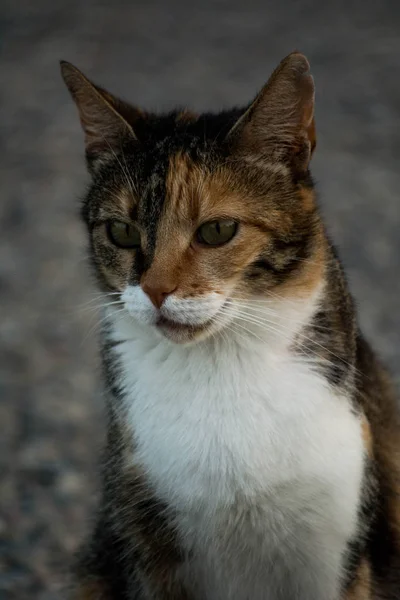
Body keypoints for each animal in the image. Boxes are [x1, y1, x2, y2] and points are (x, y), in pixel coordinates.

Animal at [61, 52, 400, 600]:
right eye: (122, 232)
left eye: (217, 231)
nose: (155, 290)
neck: (222, 370)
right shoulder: (145, 543)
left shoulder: (337, 548)